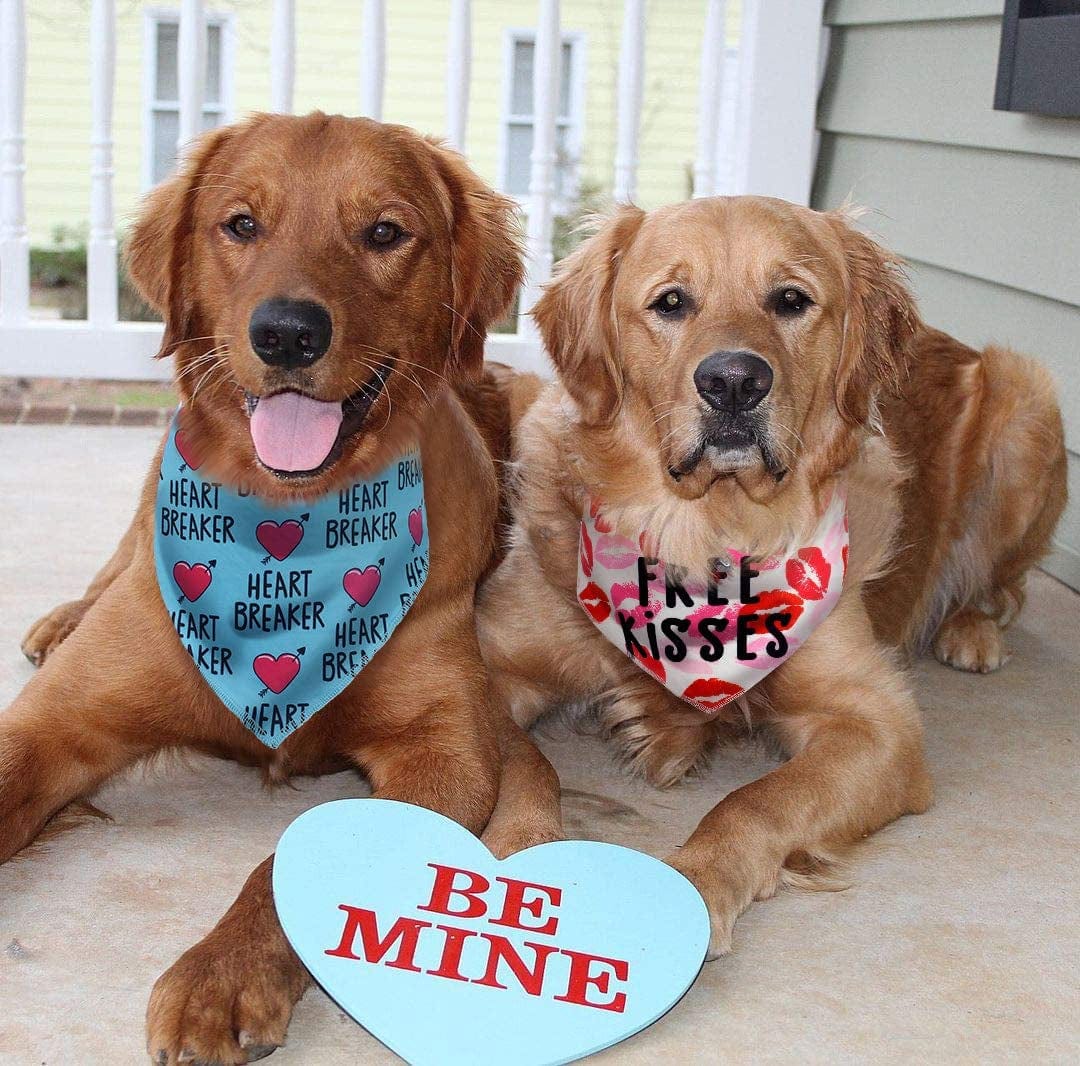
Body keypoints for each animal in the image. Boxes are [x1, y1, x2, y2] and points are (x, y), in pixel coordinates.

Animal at [8, 112, 561, 1062]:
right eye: (240, 224)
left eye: (385, 232)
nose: (289, 334)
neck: (287, 536)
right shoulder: (55, 721)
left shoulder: (445, 752)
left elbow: (298, 860)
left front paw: (221, 976)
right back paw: (64, 617)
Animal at [477, 195, 1067, 954]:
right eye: (672, 302)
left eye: (791, 299)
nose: (734, 380)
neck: (706, 537)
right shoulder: (483, 664)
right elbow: (527, 765)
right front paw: (508, 853)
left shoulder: (876, 724)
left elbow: (756, 801)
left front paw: (697, 884)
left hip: (1028, 405)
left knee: (1004, 587)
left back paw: (971, 629)